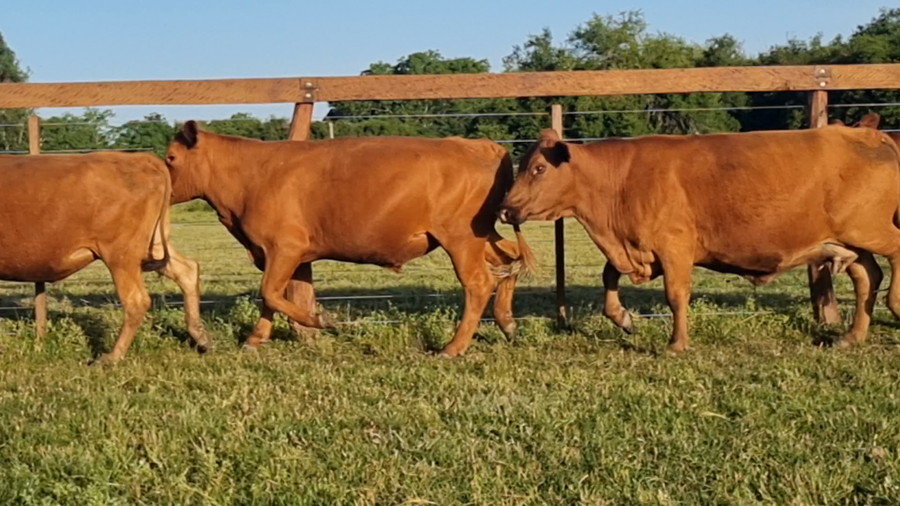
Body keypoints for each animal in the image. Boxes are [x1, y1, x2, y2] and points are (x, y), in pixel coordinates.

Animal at [0, 152, 212, 364]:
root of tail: (139, 157)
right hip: (154, 245)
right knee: (187, 270)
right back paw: (201, 337)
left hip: (121, 255)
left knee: (137, 301)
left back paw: (111, 358)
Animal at [163, 121, 536, 358]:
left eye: (170, 158)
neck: (250, 176)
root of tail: (478, 144)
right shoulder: (287, 255)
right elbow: (275, 296)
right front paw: (256, 340)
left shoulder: (285, 247)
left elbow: (270, 292)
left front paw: (322, 320)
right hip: (481, 235)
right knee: (509, 260)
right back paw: (507, 323)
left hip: (460, 238)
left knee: (478, 283)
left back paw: (453, 348)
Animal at [499, 126, 900, 353]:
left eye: (538, 168)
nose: (506, 209)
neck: (621, 180)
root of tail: (869, 134)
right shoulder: (639, 249)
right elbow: (609, 275)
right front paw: (623, 318)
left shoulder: (674, 246)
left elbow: (676, 296)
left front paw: (677, 343)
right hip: (849, 242)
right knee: (868, 277)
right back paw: (852, 337)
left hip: (869, 231)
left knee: (892, 258)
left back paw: (893, 304)